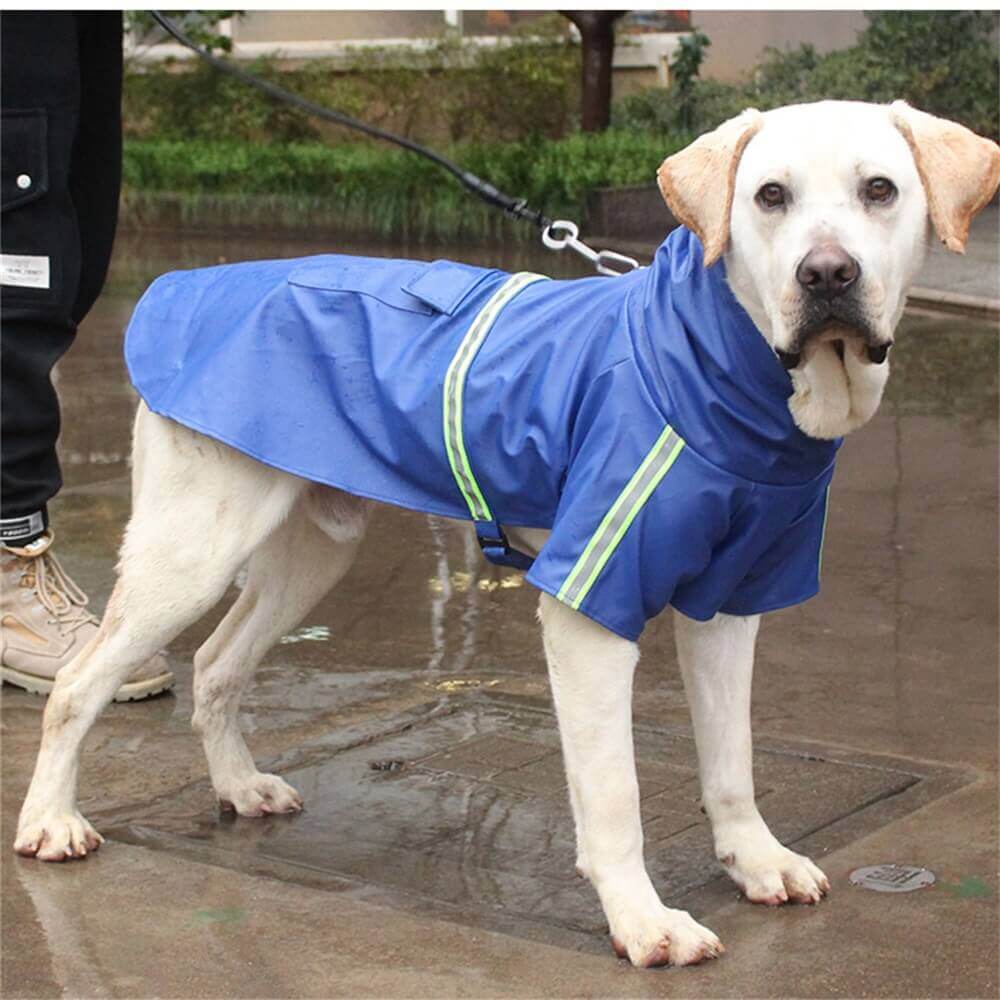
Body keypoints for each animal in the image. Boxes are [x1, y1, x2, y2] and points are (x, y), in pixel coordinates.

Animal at [15, 101, 1000, 968]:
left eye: (880, 189)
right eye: (769, 197)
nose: (827, 276)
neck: (730, 373)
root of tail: (185, 286)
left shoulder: (730, 604)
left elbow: (732, 761)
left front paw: (753, 861)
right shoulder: (590, 608)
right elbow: (614, 793)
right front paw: (642, 921)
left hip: (312, 549)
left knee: (219, 665)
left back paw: (236, 786)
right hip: (191, 548)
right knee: (79, 685)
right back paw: (50, 821)